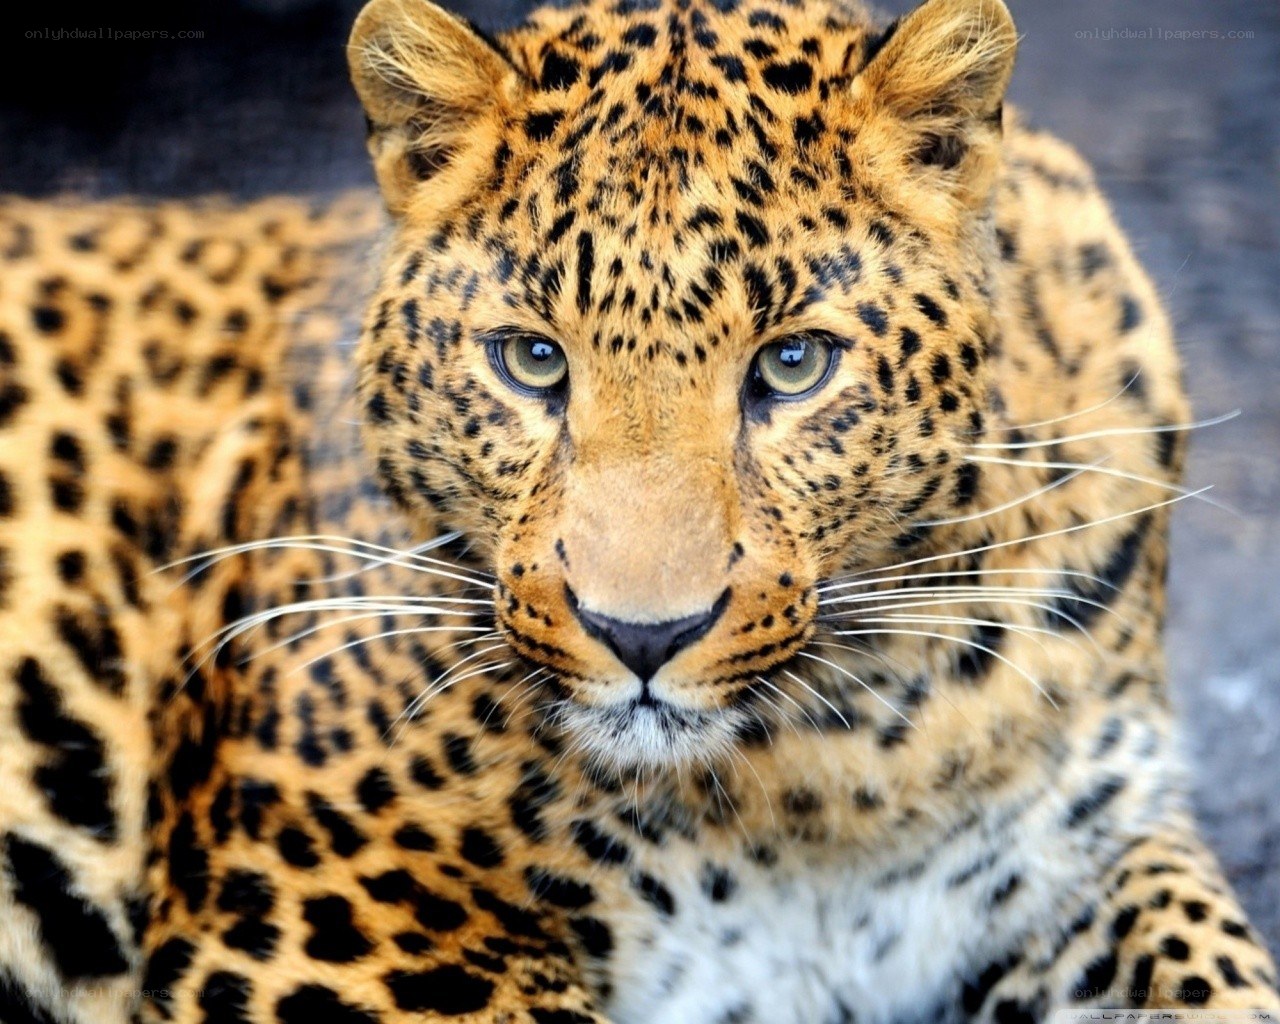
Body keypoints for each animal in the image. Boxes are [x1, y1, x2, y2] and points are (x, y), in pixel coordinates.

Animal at [0, 0, 1276, 1021]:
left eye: (793, 365)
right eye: (529, 361)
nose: (641, 636)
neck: (832, 771)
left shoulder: (1086, 847)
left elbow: (1215, 972)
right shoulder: (333, 913)